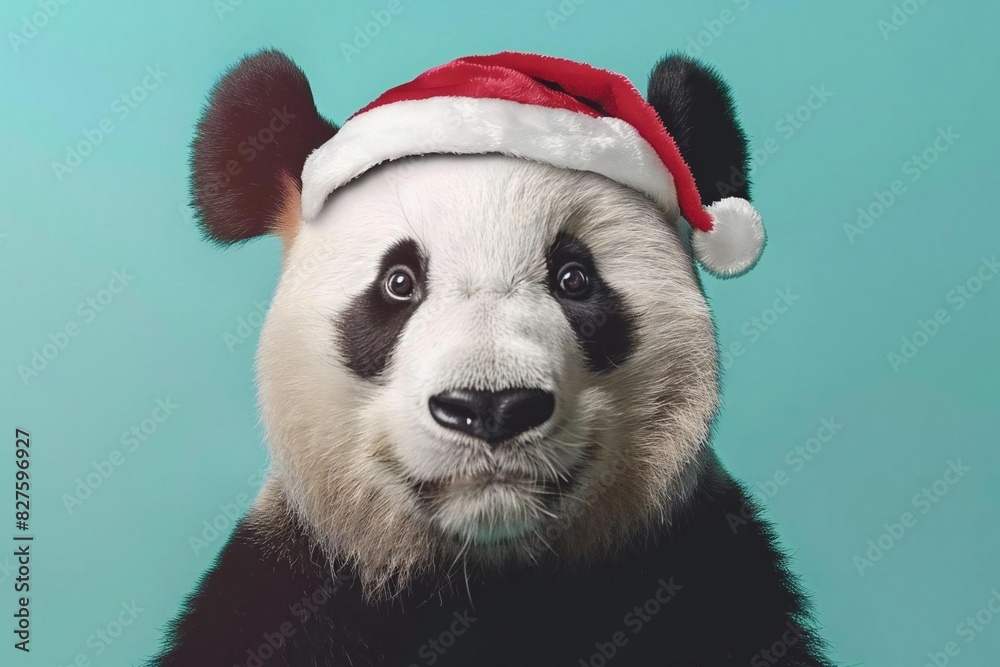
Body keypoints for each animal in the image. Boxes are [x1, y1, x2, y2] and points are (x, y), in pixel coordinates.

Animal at [149, 49, 831, 666]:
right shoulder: (287, 591)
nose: (492, 407)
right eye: (398, 283)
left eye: (574, 278)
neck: (488, 578)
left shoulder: (705, 571)